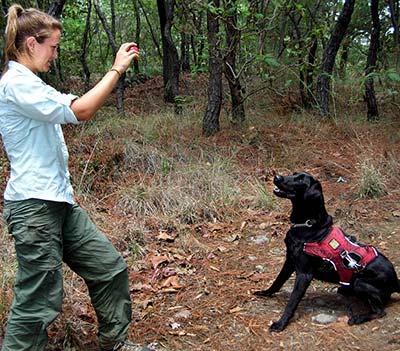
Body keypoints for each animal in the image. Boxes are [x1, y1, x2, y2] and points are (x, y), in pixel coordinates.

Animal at [255, 173, 398, 332]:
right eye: (293, 174)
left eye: (300, 180)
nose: (277, 176)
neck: (308, 225)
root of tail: (396, 281)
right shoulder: (290, 260)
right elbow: (278, 281)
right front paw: (265, 293)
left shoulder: (304, 274)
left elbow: (292, 302)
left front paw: (281, 323)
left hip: (361, 282)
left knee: (380, 312)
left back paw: (358, 318)